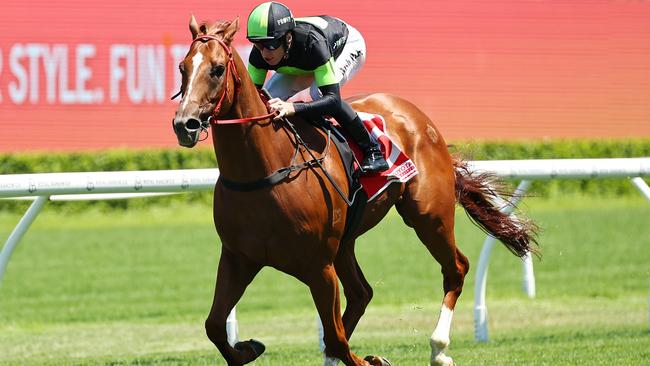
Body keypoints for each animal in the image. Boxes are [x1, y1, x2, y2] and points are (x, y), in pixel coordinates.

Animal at [170, 17, 536, 366]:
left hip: (429, 215)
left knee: (455, 268)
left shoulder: (318, 266)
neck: (263, 170)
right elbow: (214, 326)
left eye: (218, 69)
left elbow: (335, 337)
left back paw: (439, 350)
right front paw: (248, 348)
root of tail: (420, 118)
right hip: (346, 241)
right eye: (183, 68)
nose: (184, 124)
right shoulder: (238, 258)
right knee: (362, 293)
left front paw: (372, 360)